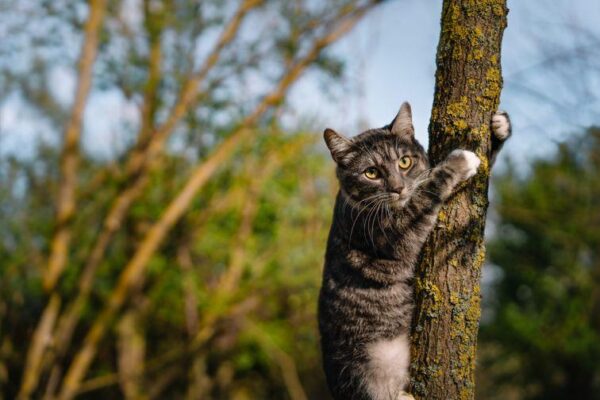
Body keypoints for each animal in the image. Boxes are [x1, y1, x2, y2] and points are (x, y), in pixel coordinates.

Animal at [318, 103, 510, 400]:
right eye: (371, 172)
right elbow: (429, 189)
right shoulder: (397, 231)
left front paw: (499, 126)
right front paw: (459, 161)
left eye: (404, 162)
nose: (397, 188)